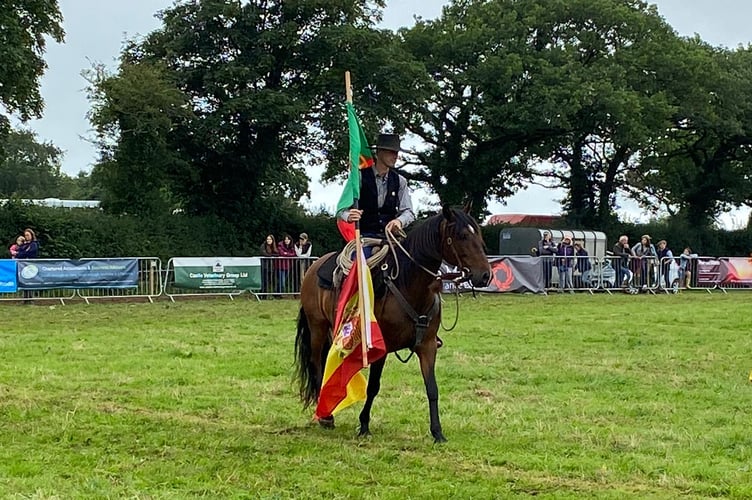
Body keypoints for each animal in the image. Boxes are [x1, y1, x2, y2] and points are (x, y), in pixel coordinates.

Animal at [290, 206, 490, 442]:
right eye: (462, 236)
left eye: (478, 234)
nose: (485, 275)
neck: (408, 284)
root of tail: (313, 267)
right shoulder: (381, 347)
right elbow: (373, 387)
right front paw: (364, 425)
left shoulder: (428, 346)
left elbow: (432, 388)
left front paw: (437, 432)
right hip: (317, 328)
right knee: (316, 363)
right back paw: (326, 415)